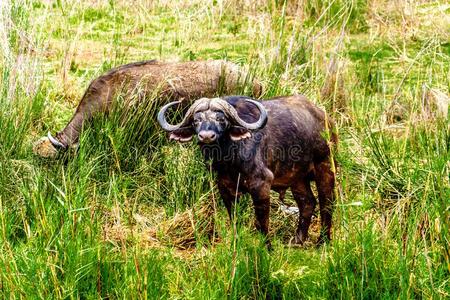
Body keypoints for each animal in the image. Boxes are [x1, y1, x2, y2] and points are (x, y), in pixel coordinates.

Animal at [158, 95, 338, 246]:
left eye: (221, 119)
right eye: (196, 120)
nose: (206, 136)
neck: (229, 160)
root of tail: (326, 119)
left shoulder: (261, 185)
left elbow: (261, 221)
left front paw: (267, 247)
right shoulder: (225, 188)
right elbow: (234, 218)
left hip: (326, 167)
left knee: (327, 203)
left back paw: (323, 241)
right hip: (297, 178)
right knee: (307, 203)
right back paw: (297, 241)